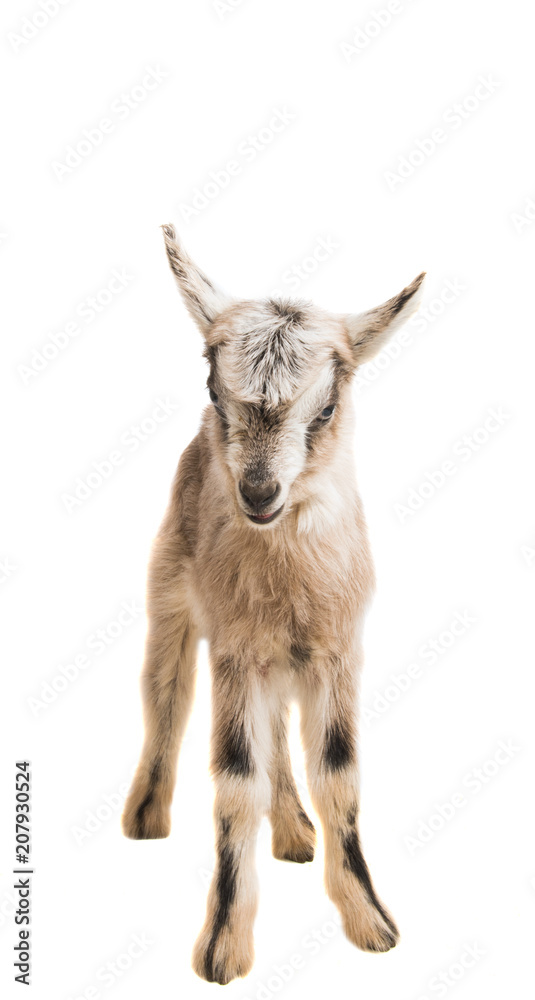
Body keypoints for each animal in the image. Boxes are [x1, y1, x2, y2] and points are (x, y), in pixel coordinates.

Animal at [122, 224, 425, 984]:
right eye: (211, 386)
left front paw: (371, 925)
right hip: (170, 595)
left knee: (280, 738)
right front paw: (223, 949)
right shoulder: (234, 651)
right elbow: (236, 779)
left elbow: (339, 773)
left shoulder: (338, 650)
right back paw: (145, 818)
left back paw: (293, 834)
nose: (258, 492)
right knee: (165, 694)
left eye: (327, 407)